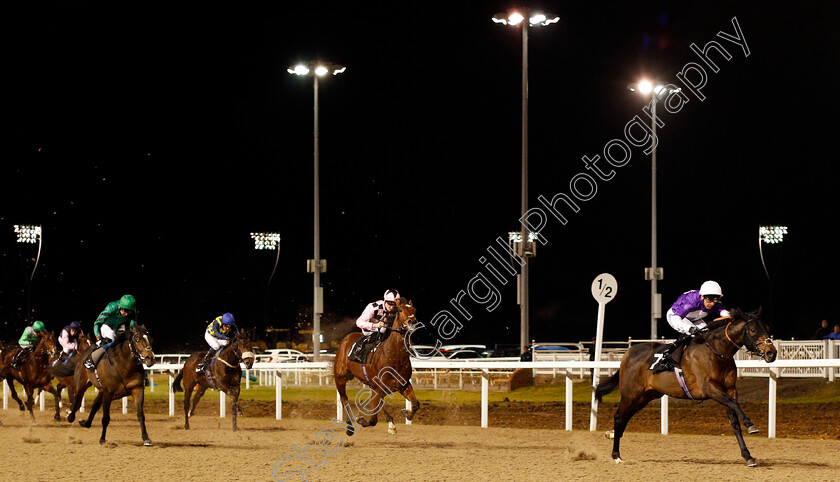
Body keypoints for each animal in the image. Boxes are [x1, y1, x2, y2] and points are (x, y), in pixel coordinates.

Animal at [332, 298, 416, 436]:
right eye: (400, 310)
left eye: (414, 310)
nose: (412, 322)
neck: (395, 357)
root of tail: (346, 339)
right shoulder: (377, 388)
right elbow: (372, 420)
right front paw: (361, 420)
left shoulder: (403, 385)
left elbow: (415, 404)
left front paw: (406, 414)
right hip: (340, 378)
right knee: (344, 399)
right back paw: (350, 427)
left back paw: (390, 422)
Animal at [592, 308, 776, 466]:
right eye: (753, 330)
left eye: (767, 328)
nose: (771, 353)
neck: (716, 352)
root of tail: (627, 354)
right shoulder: (710, 388)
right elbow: (734, 404)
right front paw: (751, 424)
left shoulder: (730, 389)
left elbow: (734, 422)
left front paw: (748, 456)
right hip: (631, 394)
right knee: (619, 417)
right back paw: (616, 455)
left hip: (646, 396)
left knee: (625, 417)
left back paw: (612, 435)